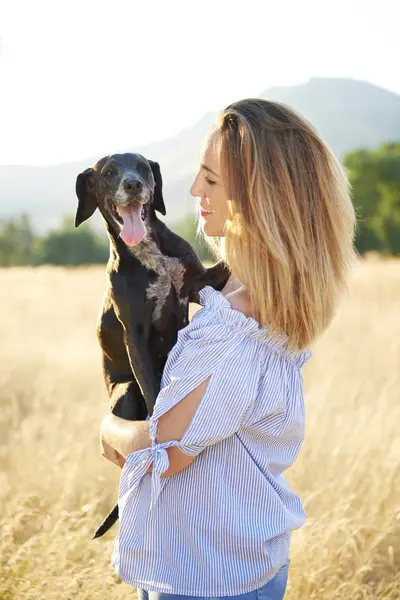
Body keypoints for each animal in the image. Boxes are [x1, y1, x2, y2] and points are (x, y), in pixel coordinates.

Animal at [74, 154, 228, 540]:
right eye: (109, 173)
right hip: (125, 392)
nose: (133, 184)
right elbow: (154, 392)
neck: (147, 253)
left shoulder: (201, 283)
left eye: (142, 167)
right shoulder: (136, 336)